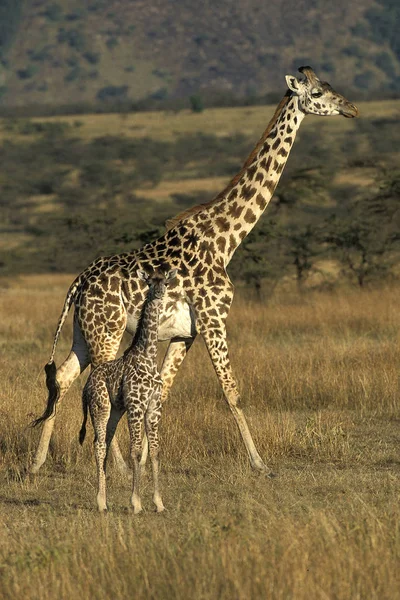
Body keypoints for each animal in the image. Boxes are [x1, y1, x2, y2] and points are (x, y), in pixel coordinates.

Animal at [30, 67, 356, 478]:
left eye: (330, 87)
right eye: (316, 93)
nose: (351, 108)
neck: (225, 239)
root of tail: (78, 283)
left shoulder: (185, 332)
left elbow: (162, 392)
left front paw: (148, 459)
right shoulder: (214, 317)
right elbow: (231, 390)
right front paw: (260, 463)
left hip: (83, 334)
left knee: (63, 377)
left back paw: (38, 462)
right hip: (107, 332)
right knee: (95, 385)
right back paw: (114, 466)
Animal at [79, 270, 177, 512]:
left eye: (166, 281)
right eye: (149, 282)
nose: (159, 293)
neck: (149, 356)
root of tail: (87, 385)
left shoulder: (153, 408)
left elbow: (154, 452)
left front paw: (159, 503)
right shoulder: (136, 406)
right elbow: (135, 451)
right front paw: (136, 503)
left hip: (116, 411)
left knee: (103, 444)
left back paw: (105, 500)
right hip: (101, 407)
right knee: (98, 445)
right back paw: (101, 503)